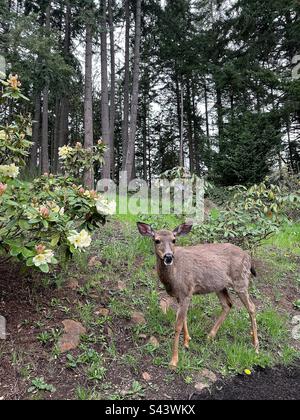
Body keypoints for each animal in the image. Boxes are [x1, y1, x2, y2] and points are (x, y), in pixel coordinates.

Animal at [137, 221, 258, 370]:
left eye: (174, 239)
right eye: (157, 240)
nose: (168, 256)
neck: (173, 277)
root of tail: (248, 257)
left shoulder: (186, 292)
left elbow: (177, 325)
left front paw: (174, 360)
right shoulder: (181, 295)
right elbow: (184, 318)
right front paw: (187, 341)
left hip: (241, 281)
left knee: (251, 307)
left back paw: (256, 346)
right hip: (220, 286)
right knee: (228, 304)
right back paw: (210, 336)